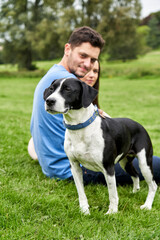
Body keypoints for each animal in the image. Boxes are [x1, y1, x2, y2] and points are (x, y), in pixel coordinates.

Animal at [43, 78, 158, 215]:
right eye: (51, 89)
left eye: (68, 89)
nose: (49, 101)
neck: (79, 128)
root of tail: (140, 125)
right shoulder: (74, 166)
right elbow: (81, 192)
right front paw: (84, 210)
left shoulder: (108, 168)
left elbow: (112, 194)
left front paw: (112, 212)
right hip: (125, 162)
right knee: (135, 175)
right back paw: (134, 193)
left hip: (145, 163)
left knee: (153, 185)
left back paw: (147, 205)